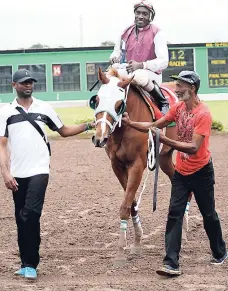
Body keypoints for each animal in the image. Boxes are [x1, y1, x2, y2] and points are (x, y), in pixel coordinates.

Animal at [90, 68, 186, 266]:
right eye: (97, 100)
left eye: (119, 104)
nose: (99, 138)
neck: (122, 130)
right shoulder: (117, 166)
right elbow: (132, 203)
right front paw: (137, 242)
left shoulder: (137, 165)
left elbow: (125, 206)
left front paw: (120, 252)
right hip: (164, 157)